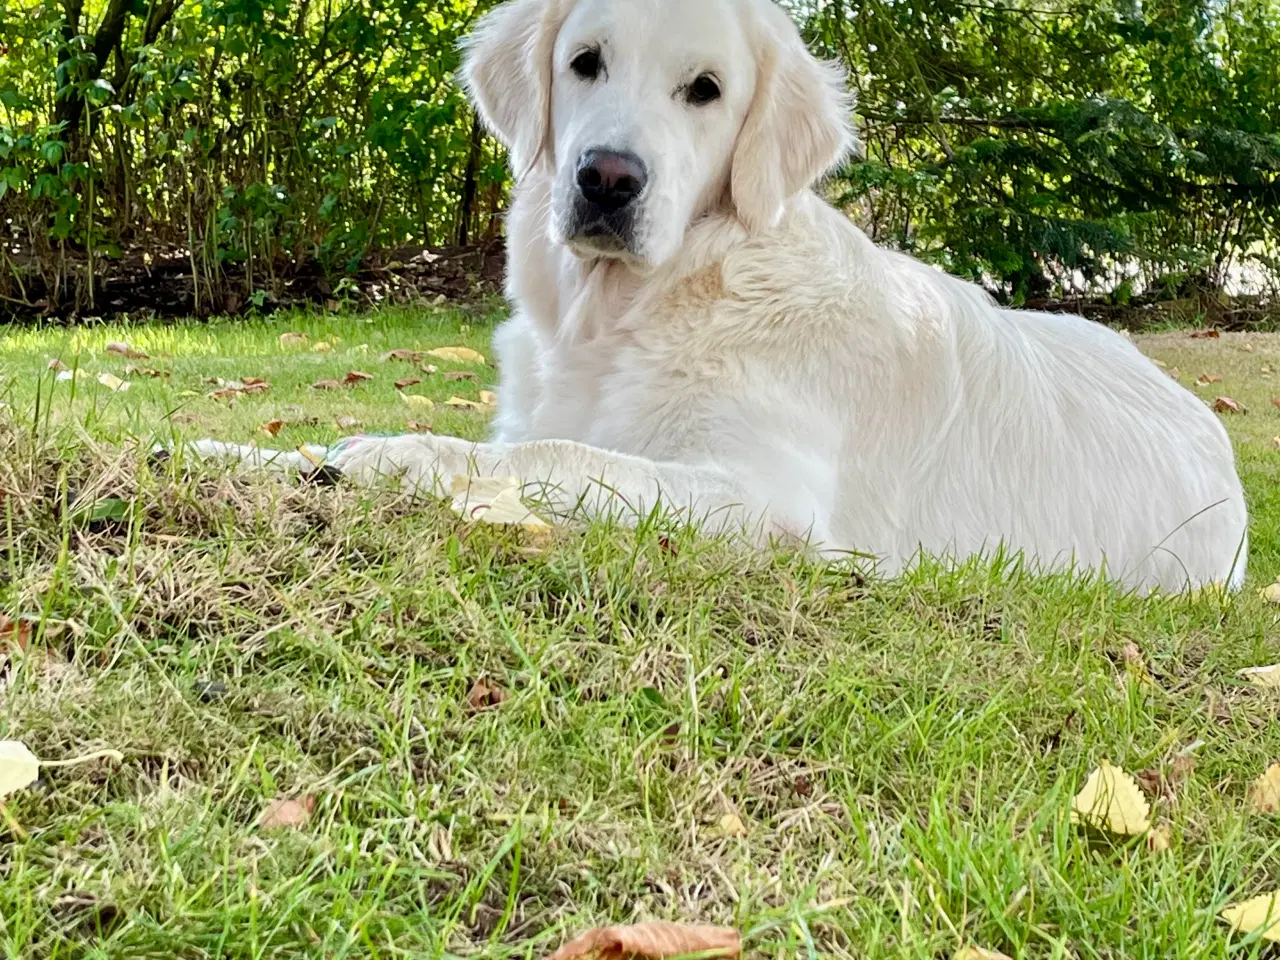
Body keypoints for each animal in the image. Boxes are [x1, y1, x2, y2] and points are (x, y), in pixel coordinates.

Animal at [180, 0, 1249, 593]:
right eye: (585, 62)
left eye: (706, 89)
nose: (608, 179)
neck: (634, 308)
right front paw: (218, 451)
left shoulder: (765, 496)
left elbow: (553, 454)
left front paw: (392, 457)